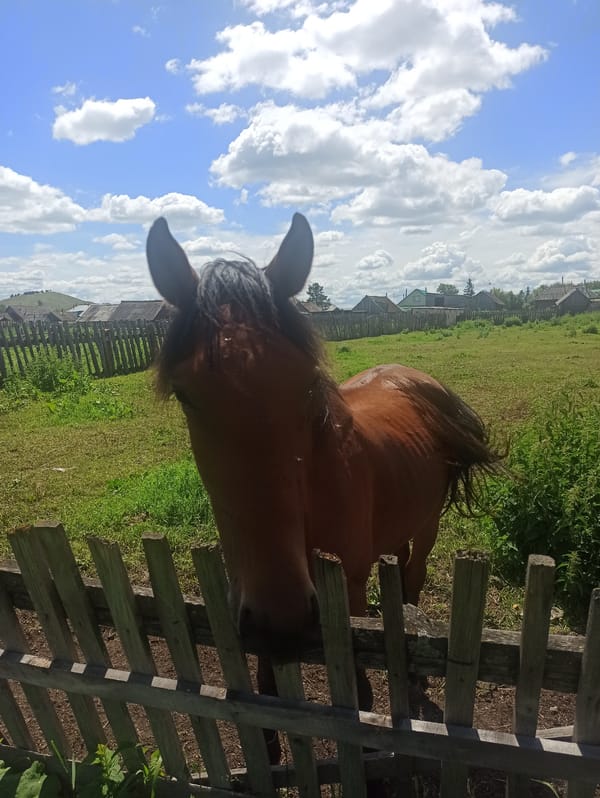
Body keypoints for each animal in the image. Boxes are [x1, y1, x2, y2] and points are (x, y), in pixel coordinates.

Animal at [146, 212, 500, 764]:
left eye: (308, 384)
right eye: (185, 395)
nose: (282, 617)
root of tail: (416, 377)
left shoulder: (345, 587)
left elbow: (360, 691)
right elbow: (266, 685)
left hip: (427, 525)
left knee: (414, 574)